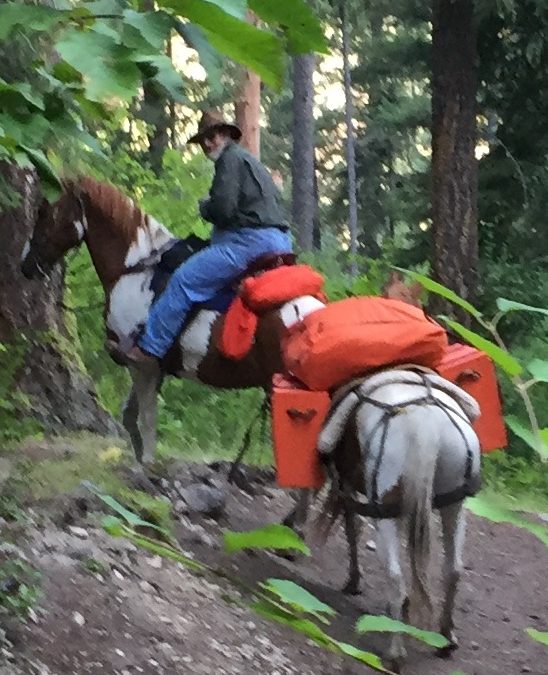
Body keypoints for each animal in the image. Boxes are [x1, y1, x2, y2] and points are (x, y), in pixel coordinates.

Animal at [23, 177, 482, 668]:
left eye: (46, 214)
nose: (26, 266)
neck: (138, 270)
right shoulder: (150, 372)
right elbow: (131, 418)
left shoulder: (143, 365)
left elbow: (144, 421)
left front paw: (144, 471)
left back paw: (295, 530)